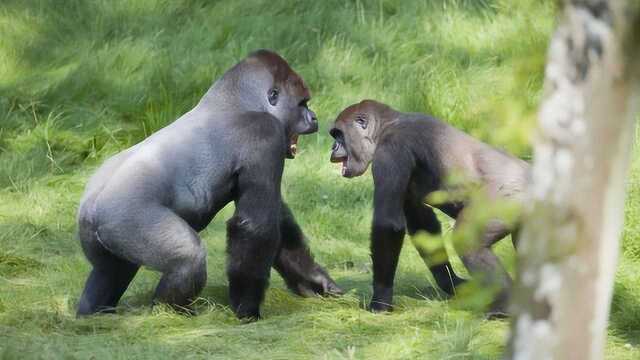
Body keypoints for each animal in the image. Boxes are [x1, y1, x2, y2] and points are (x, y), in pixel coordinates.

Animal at [77, 49, 342, 320]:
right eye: (302, 104)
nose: (314, 117)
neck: (236, 101)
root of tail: (91, 206)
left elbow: (278, 220)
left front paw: (313, 280)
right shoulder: (265, 134)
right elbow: (256, 226)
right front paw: (247, 309)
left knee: (109, 272)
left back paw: (93, 312)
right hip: (123, 218)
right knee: (188, 258)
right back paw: (169, 313)